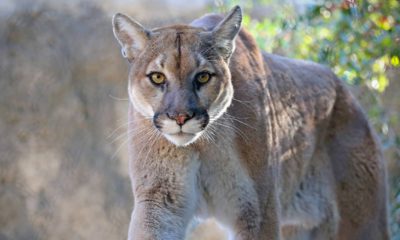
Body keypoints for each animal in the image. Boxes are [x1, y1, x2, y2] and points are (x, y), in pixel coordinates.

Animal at [111, 5, 390, 240]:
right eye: (157, 77)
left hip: (362, 221)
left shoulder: (257, 208)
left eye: (203, 77)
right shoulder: (160, 199)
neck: (202, 144)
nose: (181, 117)